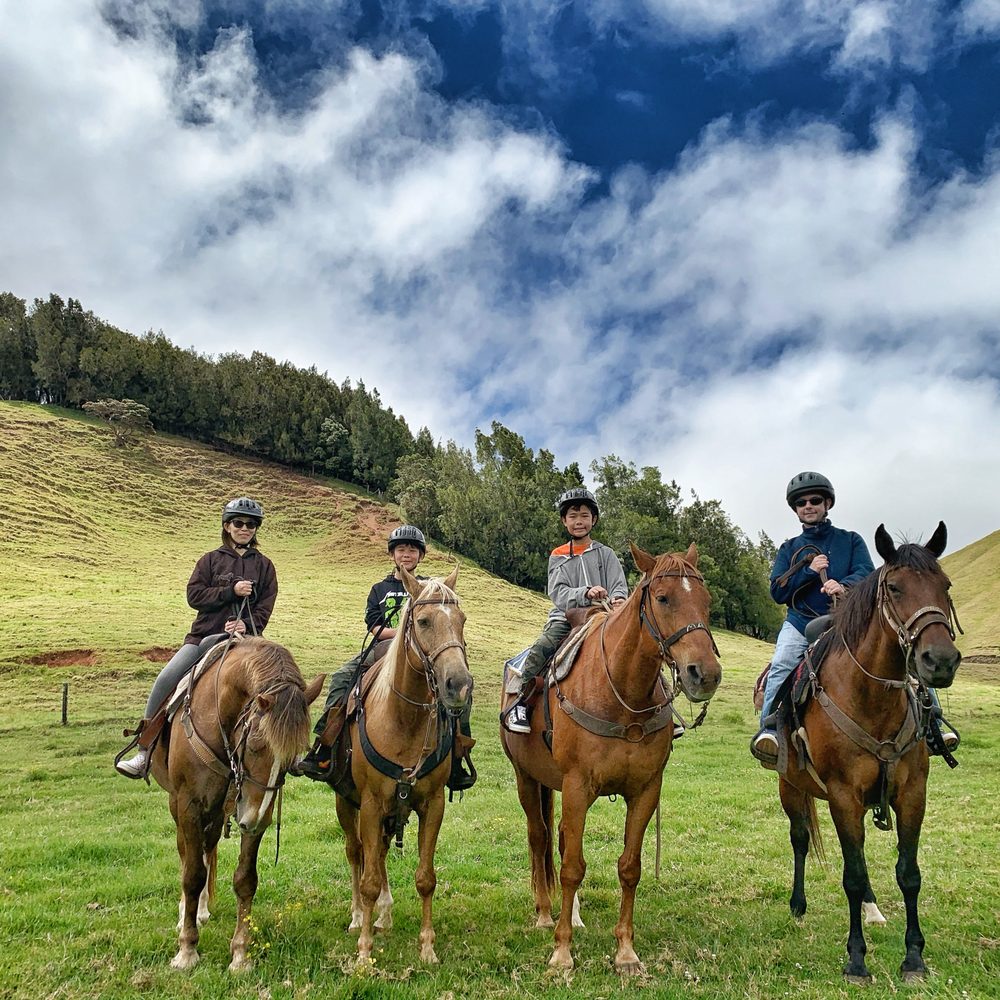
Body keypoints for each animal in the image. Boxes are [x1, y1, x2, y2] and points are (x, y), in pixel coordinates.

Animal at [148, 637, 324, 971]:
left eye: (292, 759)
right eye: (255, 744)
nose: (252, 819)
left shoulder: (254, 813)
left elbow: (245, 880)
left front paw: (241, 953)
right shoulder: (189, 806)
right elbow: (192, 875)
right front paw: (186, 950)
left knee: (208, 848)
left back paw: (202, 911)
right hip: (179, 806)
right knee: (187, 855)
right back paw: (187, 914)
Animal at [333, 565, 473, 967]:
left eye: (461, 620)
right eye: (423, 621)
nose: (459, 685)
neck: (403, 719)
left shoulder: (432, 805)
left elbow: (425, 877)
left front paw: (427, 948)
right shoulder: (369, 804)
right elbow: (367, 878)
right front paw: (364, 953)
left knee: (378, 854)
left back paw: (384, 913)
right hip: (346, 804)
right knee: (356, 853)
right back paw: (358, 917)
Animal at [501, 542, 723, 974]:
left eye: (706, 601)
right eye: (663, 598)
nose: (704, 674)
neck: (620, 692)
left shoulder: (645, 790)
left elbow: (629, 867)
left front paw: (625, 952)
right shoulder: (576, 785)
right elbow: (571, 868)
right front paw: (562, 954)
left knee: (560, 838)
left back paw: (572, 915)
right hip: (526, 778)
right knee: (539, 838)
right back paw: (546, 913)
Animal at [774, 522, 962, 983]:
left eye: (945, 585)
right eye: (894, 587)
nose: (940, 661)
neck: (871, 698)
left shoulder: (911, 793)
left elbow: (908, 874)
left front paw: (914, 957)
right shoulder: (843, 795)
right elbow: (853, 876)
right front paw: (857, 960)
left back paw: (873, 909)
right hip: (791, 786)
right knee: (801, 839)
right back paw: (798, 904)